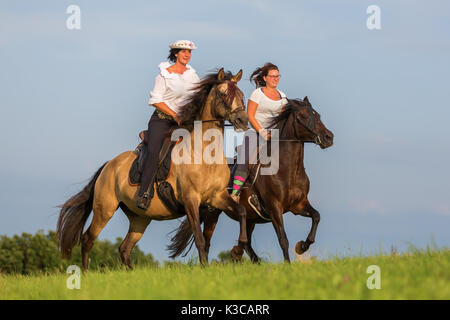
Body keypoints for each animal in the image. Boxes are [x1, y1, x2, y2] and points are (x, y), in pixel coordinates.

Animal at [56, 69, 250, 268]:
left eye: (241, 94)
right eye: (223, 93)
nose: (243, 120)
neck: (205, 154)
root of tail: (108, 165)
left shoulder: (217, 197)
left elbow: (241, 212)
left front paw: (237, 250)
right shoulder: (190, 200)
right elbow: (199, 237)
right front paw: (205, 267)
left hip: (140, 218)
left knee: (124, 248)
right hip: (105, 209)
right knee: (88, 239)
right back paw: (86, 272)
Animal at [167, 97, 332, 262]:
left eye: (318, 115)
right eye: (302, 116)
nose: (329, 137)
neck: (289, 171)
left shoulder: (298, 205)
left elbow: (316, 216)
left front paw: (302, 246)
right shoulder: (274, 207)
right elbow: (283, 239)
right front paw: (288, 263)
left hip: (249, 217)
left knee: (246, 243)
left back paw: (245, 256)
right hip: (211, 213)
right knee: (207, 242)